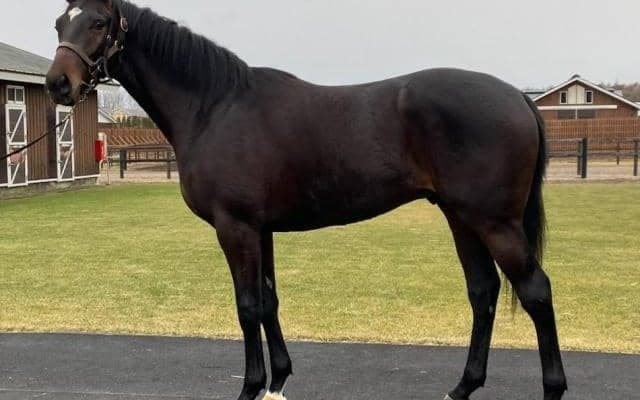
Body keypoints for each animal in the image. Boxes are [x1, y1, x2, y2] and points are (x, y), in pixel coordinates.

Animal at [46, 1, 567, 399]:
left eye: (98, 22)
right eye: (57, 23)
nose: (57, 84)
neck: (216, 106)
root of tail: (519, 98)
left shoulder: (235, 227)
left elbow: (247, 306)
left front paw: (250, 387)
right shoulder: (261, 229)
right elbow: (269, 301)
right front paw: (278, 381)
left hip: (495, 222)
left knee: (535, 290)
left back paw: (552, 387)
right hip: (462, 218)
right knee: (484, 291)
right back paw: (462, 387)